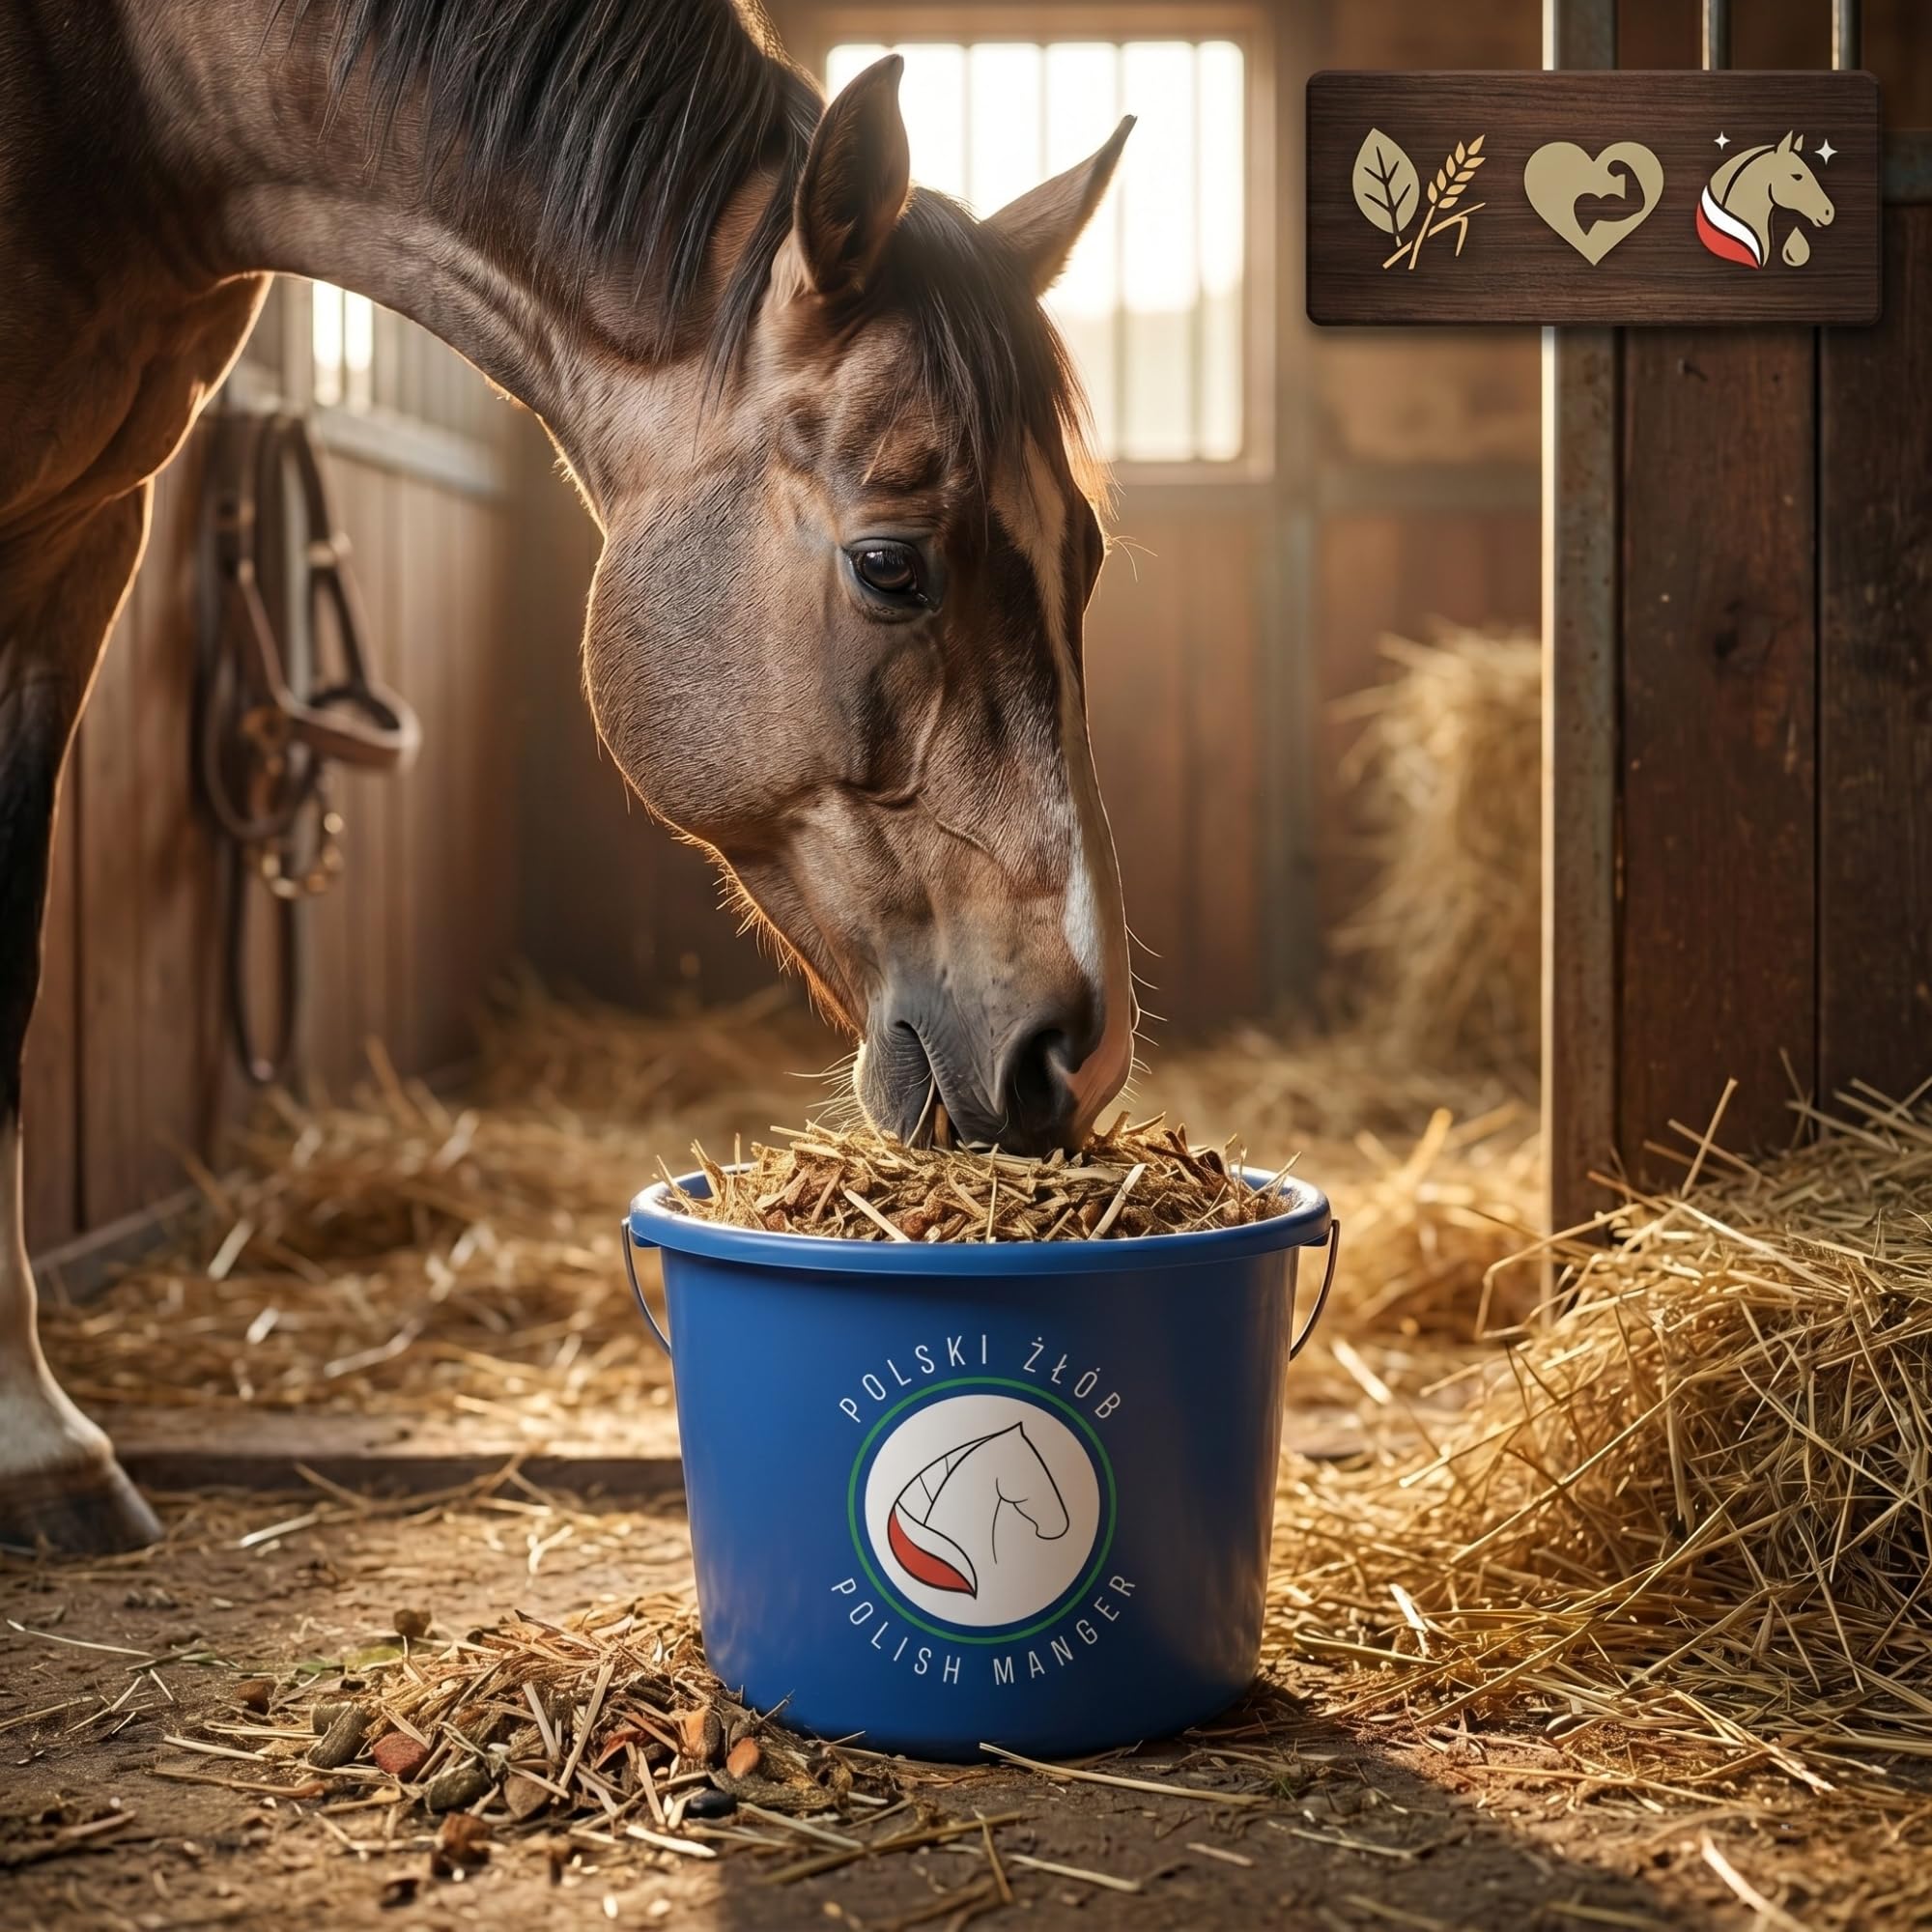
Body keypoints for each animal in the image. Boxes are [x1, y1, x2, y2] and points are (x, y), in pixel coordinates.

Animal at [0, 0, 1139, 1553]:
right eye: (889, 565)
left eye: (1087, 560)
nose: (1078, 1052)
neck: (124, 92)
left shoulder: (78, 539)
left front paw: (36, 1441)